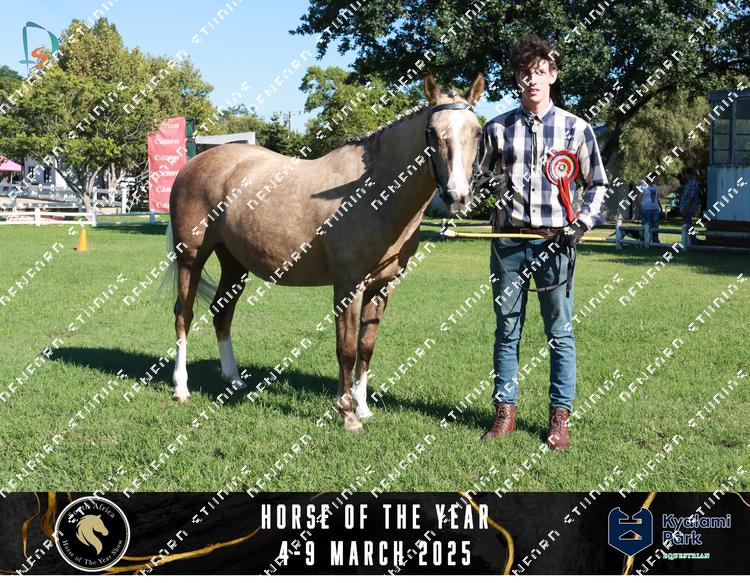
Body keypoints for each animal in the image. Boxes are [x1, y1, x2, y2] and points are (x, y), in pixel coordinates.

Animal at [166, 72, 485, 432]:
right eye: (432, 131)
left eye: (477, 131)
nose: (458, 195)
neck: (373, 192)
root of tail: (193, 164)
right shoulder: (348, 286)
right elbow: (346, 349)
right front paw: (347, 416)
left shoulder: (383, 285)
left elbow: (366, 347)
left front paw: (363, 408)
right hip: (191, 258)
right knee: (183, 314)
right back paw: (181, 388)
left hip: (234, 263)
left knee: (222, 313)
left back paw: (233, 379)